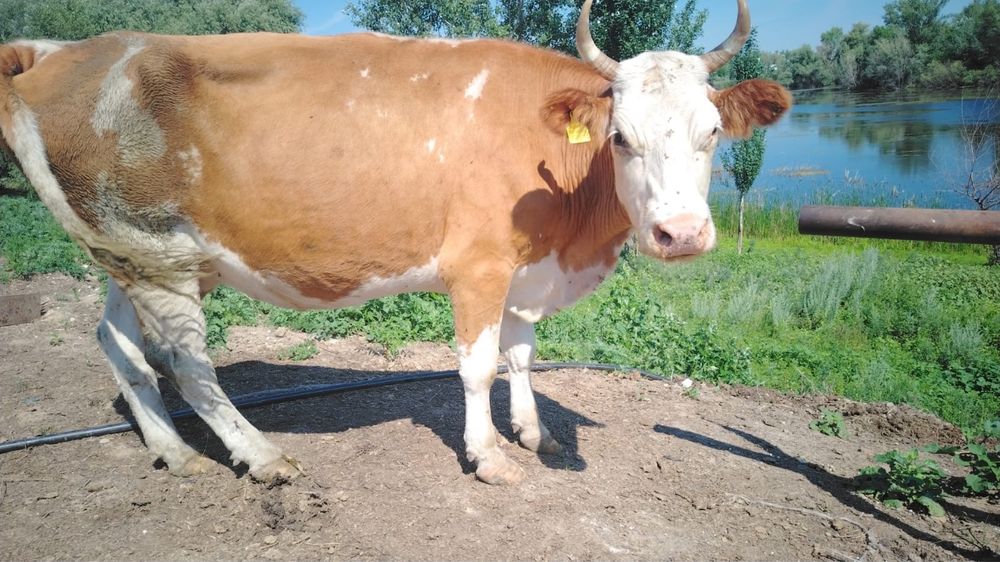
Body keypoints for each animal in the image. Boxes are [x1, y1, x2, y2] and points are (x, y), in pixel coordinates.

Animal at [0, 0, 791, 485]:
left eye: (712, 132)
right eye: (620, 137)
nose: (681, 233)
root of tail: (65, 51)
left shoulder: (526, 271)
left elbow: (521, 356)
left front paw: (534, 433)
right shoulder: (479, 266)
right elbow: (477, 368)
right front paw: (490, 457)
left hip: (131, 254)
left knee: (118, 345)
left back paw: (170, 450)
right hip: (158, 256)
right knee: (186, 362)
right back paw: (261, 455)